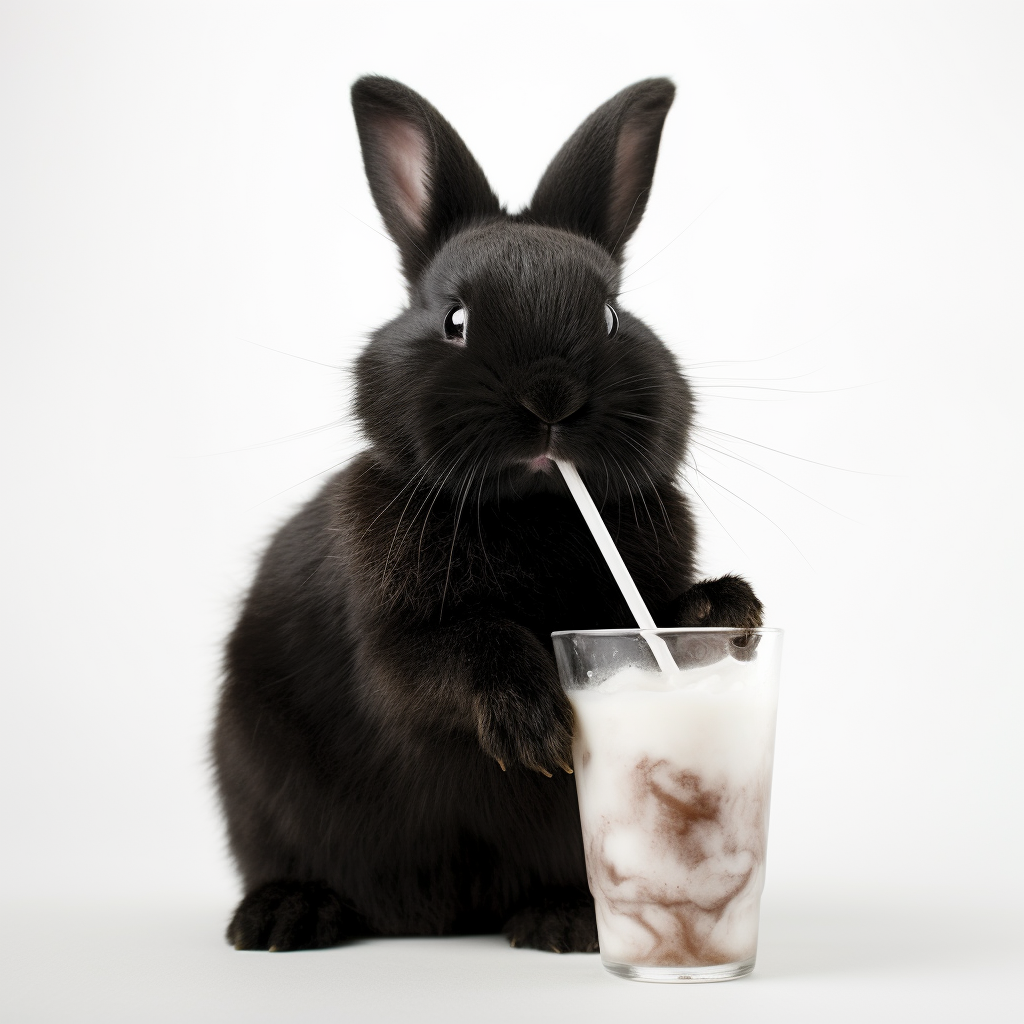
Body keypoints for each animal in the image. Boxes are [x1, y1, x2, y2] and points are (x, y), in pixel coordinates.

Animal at [214, 75, 761, 954]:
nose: (550, 397)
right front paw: (533, 724)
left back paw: (563, 919)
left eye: (611, 317)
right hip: (257, 790)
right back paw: (287, 915)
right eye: (456, 321)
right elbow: (462, 650)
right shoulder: (396, 640)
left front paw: (730, 609)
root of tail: (435, 919)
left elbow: (662, 620)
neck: (532, 514)